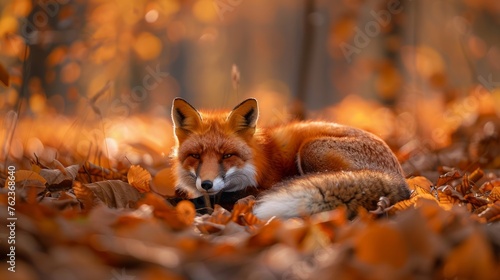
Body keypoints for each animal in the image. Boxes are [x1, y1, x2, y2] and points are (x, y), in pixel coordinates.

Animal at [172, 98, 410, 219]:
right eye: (195, 156)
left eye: (227, 155)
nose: (206, 184)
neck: (258, 160)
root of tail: (400, 179)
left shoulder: (259, 186)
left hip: (311, 149)